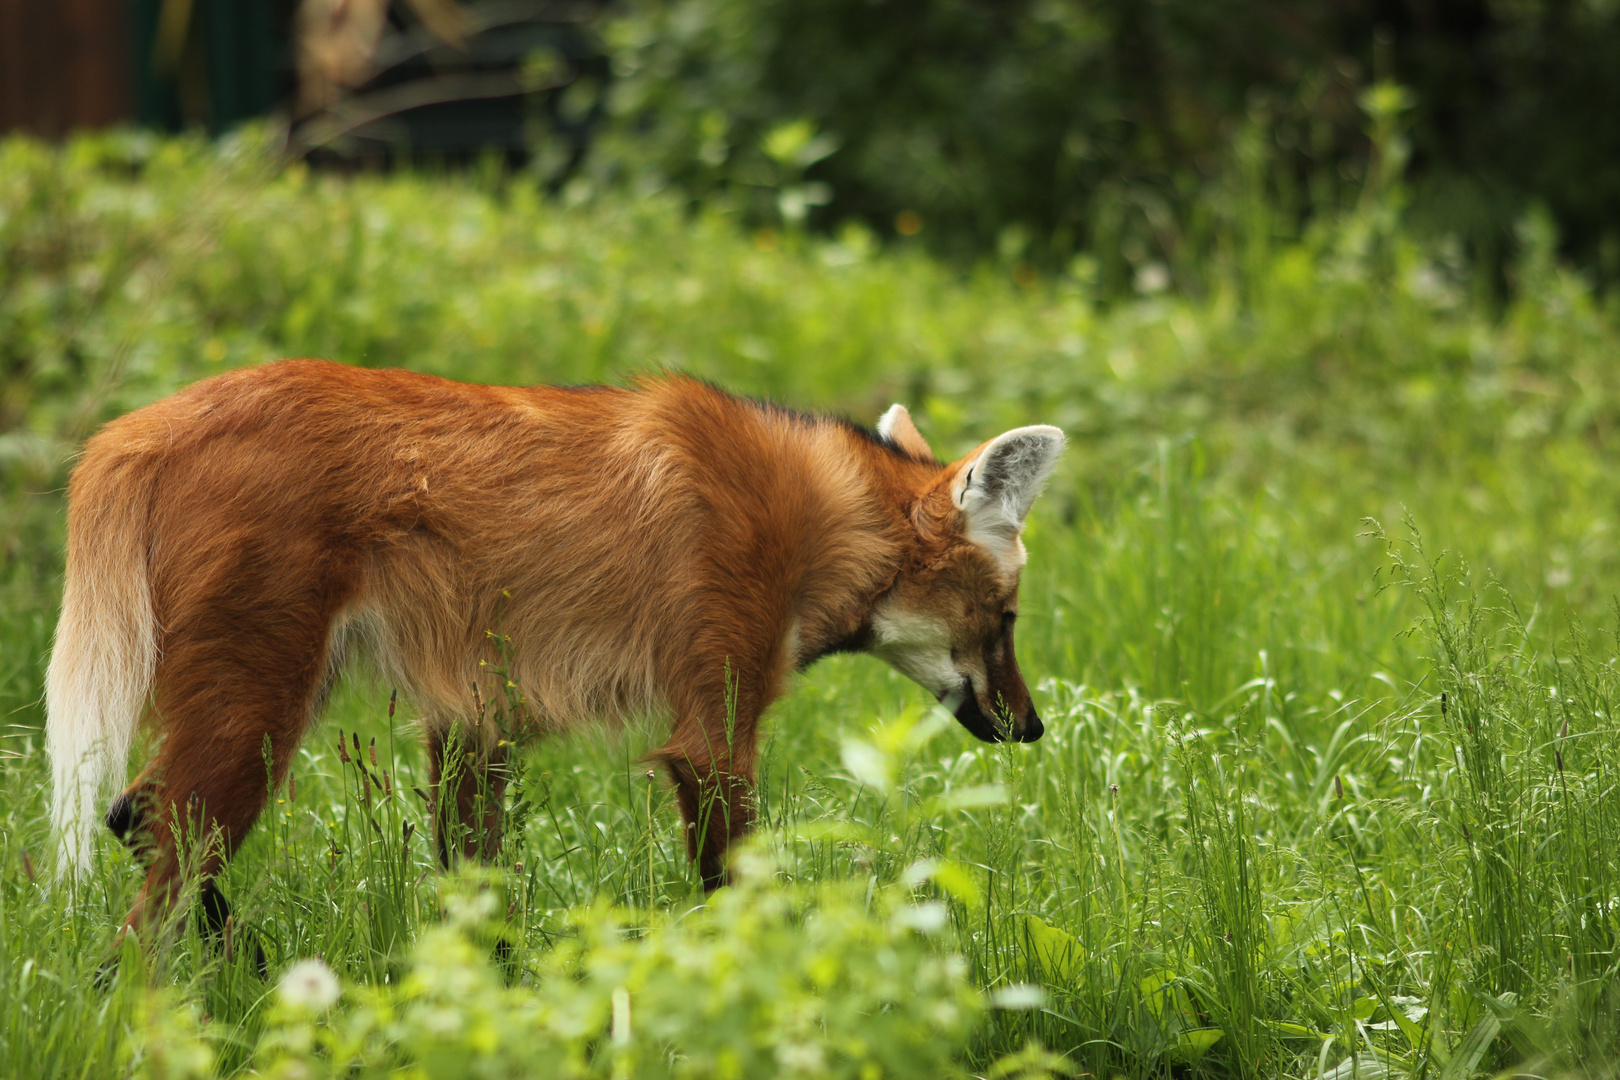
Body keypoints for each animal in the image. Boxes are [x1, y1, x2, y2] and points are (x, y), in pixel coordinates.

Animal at [47, 361, 1062, 939]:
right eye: (1009, 618)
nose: (1034, 727)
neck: (823, 521)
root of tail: (138, 426)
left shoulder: (473, 718)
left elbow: (476, 892)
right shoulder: (713, 730)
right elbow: (738, 891)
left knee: (135, 815)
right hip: (263, 709)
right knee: (148, 910)